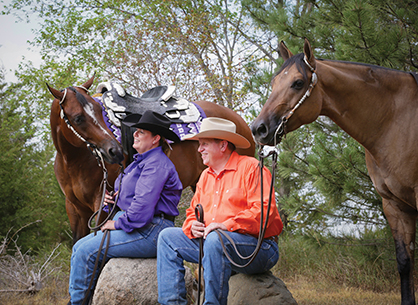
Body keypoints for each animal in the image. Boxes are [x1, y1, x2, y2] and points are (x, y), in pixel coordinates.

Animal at [47, 75, 253, 243]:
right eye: (78, 118)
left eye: (99, 110)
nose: (114, 151)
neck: (73, 161)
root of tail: (239, 120)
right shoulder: (75, 210)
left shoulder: (102, 203)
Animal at [251, 37, 418, 304]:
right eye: (274, 82)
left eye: (298, 83)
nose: (259, 129)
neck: (396, 121)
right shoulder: (394, 205)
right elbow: (405, 263)